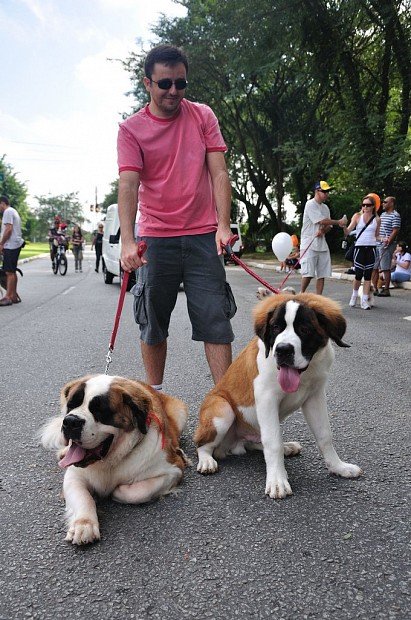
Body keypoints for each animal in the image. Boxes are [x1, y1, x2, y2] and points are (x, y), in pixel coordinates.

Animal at [41, 372, 189, 544]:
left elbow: (137, 492)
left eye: (100, 411)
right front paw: (84, 525)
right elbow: (83, 497)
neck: (110, 460)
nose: (71, 421)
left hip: (181, 412)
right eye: (71, 405)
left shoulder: (173, 470)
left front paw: (115, 492)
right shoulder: (74, 476)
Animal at [195, 292, 362, 498]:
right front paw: (277, 481)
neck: (305, 374)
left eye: (304, 329)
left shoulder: (315, 397)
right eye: (275, 327)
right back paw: (206, 460)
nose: (283, 349)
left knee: (255, 442)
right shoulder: (266, 398)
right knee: (202, 444)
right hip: (223, 410)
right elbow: (273, 442)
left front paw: (339, 467)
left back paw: (287, 447)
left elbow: (324, 435)